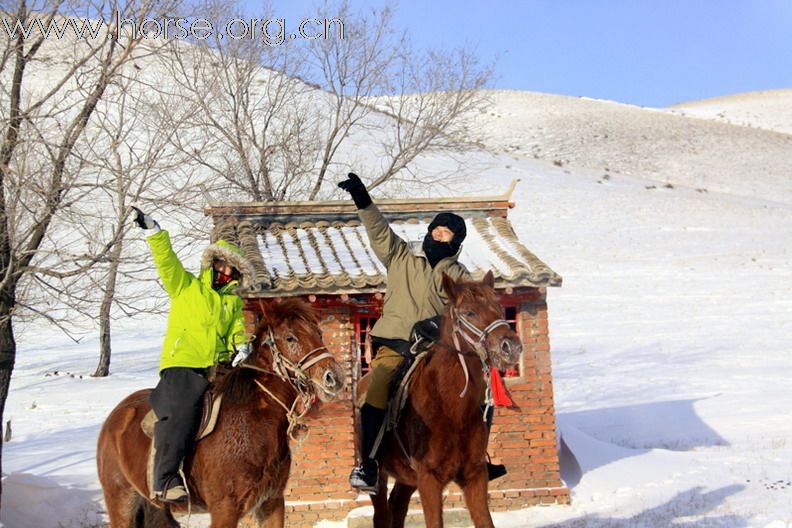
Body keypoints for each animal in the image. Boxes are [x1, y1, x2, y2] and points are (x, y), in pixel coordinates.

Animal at [95, 300, 344, 524]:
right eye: (290, 337)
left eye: (319, 333)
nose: (333, 377)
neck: (253, 424)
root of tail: (115, 417)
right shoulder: (225, 508)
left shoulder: (271, 502)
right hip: (121, 500)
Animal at [370, 272, 520, 528]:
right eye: (469, 312)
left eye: (500, 308)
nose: (511, 347)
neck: (451, 408)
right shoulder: (429, 478)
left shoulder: (474, 475)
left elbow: (485, 521)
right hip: (380, 477)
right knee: (381, 513)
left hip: (407, 478)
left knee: (397, 504)